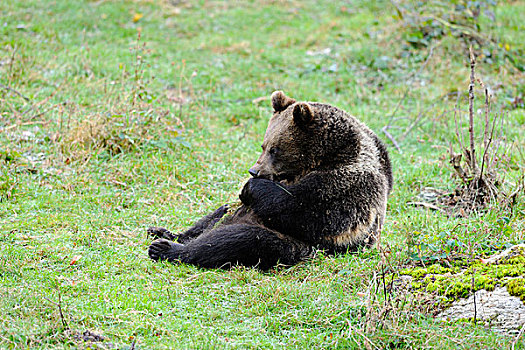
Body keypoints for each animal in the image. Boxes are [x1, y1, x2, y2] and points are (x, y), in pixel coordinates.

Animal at [146, 91, 388, 270]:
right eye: (263, 145)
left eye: (275, 149)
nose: (254, 171)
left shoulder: (347, 186)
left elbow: (306, 209)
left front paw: (250, 188)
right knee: (216, 217)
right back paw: (164, 232)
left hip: (293, 244)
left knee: (239, 240)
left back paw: (166, 248)